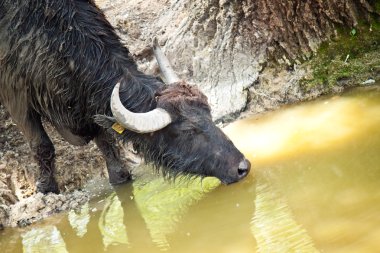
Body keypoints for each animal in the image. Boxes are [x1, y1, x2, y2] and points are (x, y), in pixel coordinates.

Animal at [0, 0, 251, 194]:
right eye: (187, 131)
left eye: (209, 116)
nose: (242, 167)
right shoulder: (15, 96)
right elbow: (42, 145)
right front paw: (46, 187)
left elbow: (105, 139)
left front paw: (119, 176)